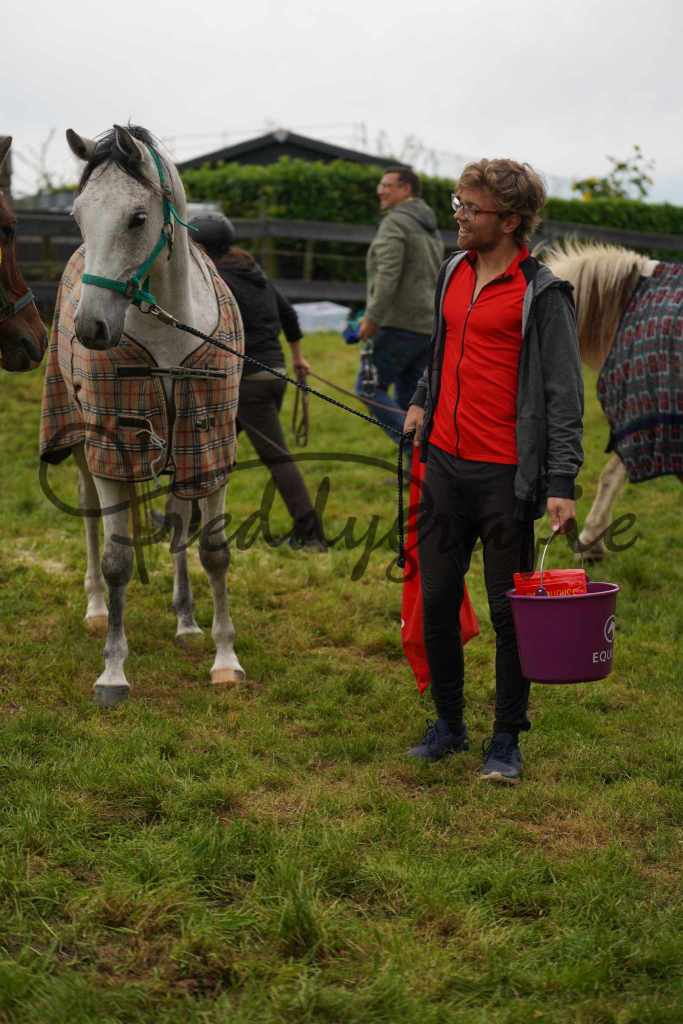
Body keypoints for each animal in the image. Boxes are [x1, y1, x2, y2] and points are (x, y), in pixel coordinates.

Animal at [39, 125, 246, 707]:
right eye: (78, 215)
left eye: (136, 217)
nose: (91, 329)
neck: (168, 331)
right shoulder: (113, 450)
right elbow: (117, 560)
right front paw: (112, 671)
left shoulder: (207, 446)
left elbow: (212, 550)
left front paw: (224, 658)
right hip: (80, 439)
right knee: (91, 519)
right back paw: (94, 608)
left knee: (177, 522)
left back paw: (186, 620)